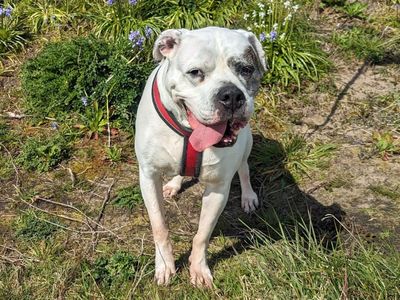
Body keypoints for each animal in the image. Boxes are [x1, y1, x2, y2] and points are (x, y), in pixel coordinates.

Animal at [134, 27, 266, 288]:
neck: (188, 131)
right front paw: (165, 265)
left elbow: (202, 234)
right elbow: (159, 226)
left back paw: (248, 196)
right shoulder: (148, 176)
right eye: (195, 72)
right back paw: (174, 184)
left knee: (244, 168)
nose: (231, 95)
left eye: (246, 69)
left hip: (247, 142)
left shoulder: (218, 188)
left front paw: (198, 269)